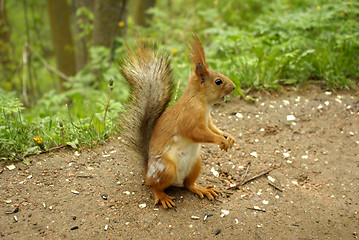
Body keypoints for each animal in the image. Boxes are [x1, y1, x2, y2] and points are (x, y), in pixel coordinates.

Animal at [121, 34, 236, 208]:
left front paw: (227, 136)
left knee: (188, 184)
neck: (200, 100)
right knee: (154, 186)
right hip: (166, 169)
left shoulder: (207, 120)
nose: (234, 86)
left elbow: (213, 128)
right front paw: (219, 140)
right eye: (218, 81)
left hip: (196, 163)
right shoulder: (190, 117)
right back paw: (162, 196)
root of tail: (147, 171)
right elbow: (199, 133)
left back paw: (201, 189)